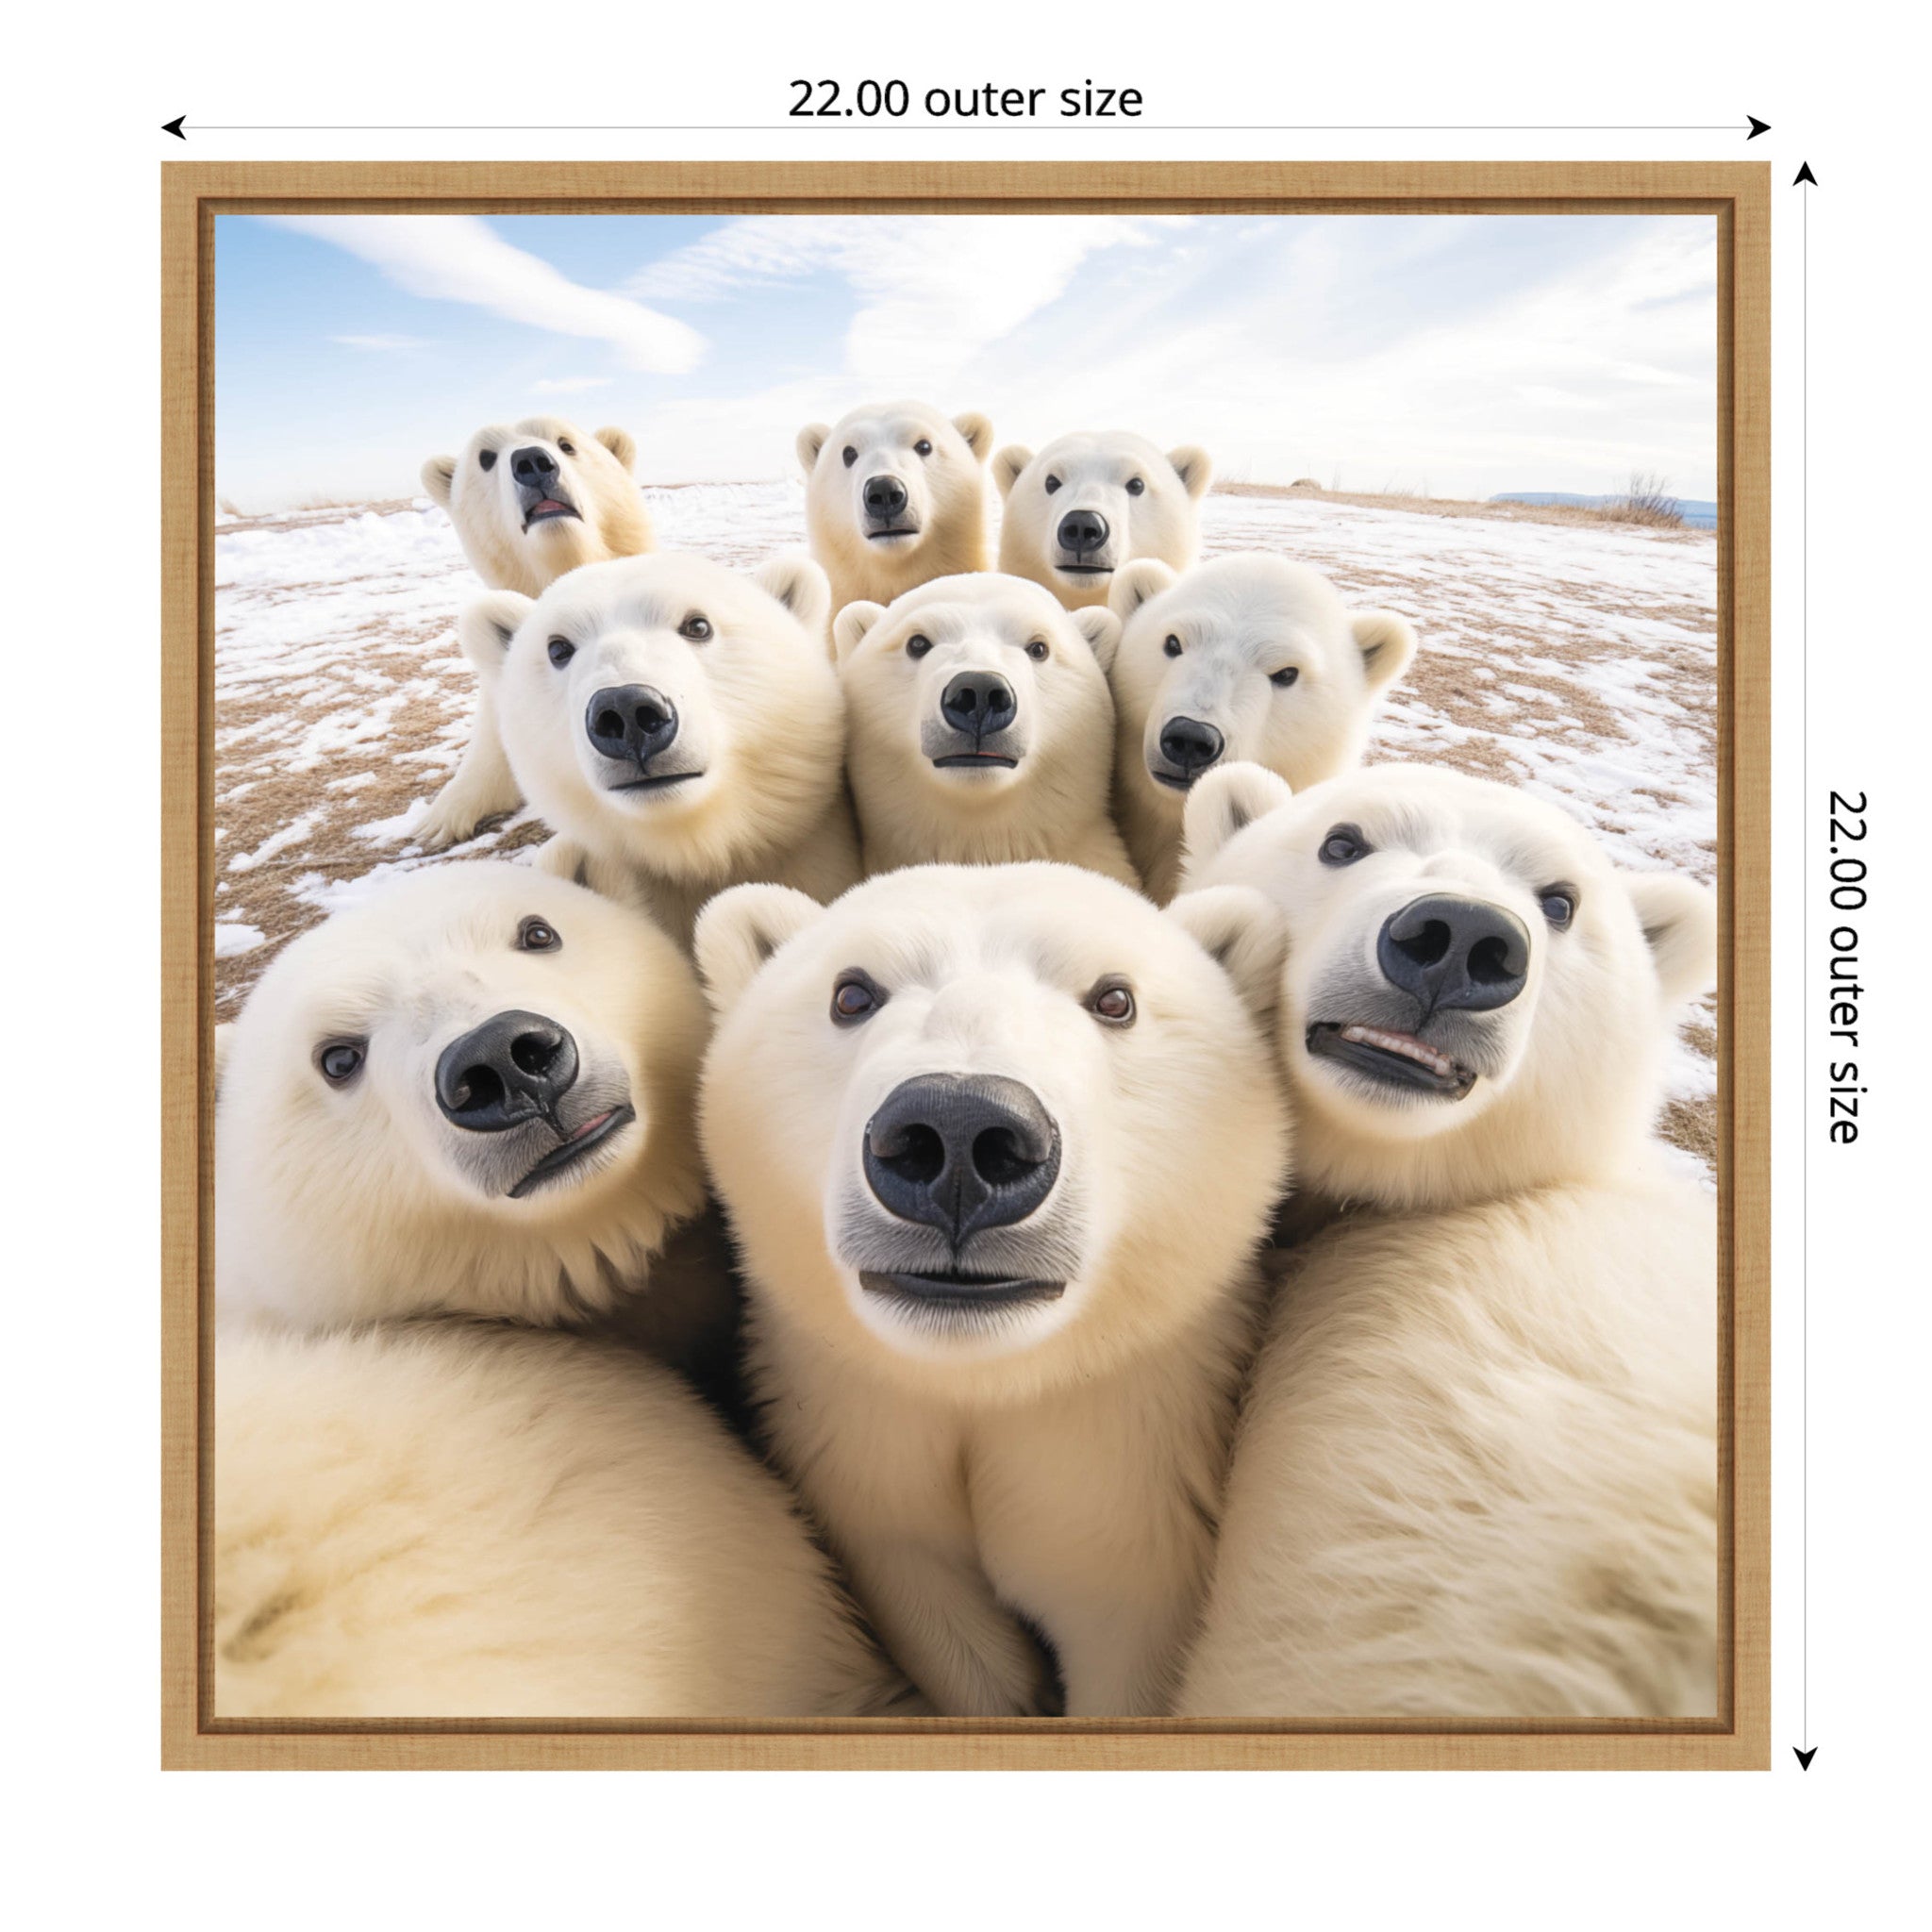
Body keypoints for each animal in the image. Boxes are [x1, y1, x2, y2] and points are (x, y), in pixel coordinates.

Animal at [694, 862, 1291, 1717]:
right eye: (852, 993)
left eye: (1115, 998)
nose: (959, 1133)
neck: (986, 1381)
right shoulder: (862, 1440)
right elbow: (938, 1612)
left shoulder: (1129, 1454)